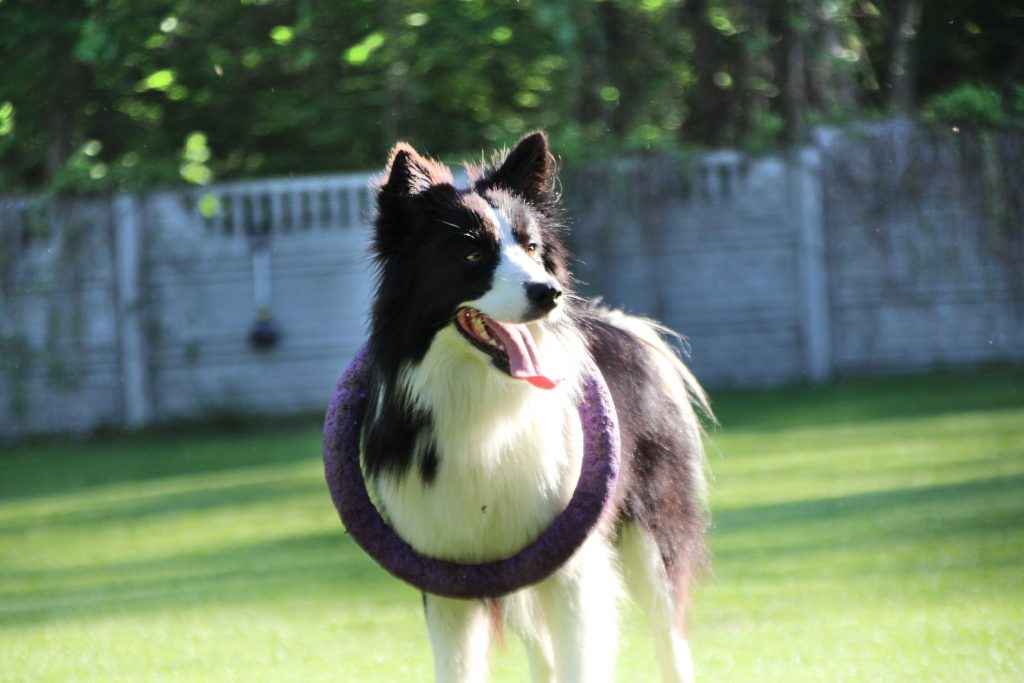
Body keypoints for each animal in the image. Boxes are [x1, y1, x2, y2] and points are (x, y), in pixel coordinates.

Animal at [362, 131, 712, 679]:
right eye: (472, 254)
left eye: (530, 247)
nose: (550, 293)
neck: (484, 397)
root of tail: (620, 323)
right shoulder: (446, 576)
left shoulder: (571, 566)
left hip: (653, 530)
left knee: (669, 632)